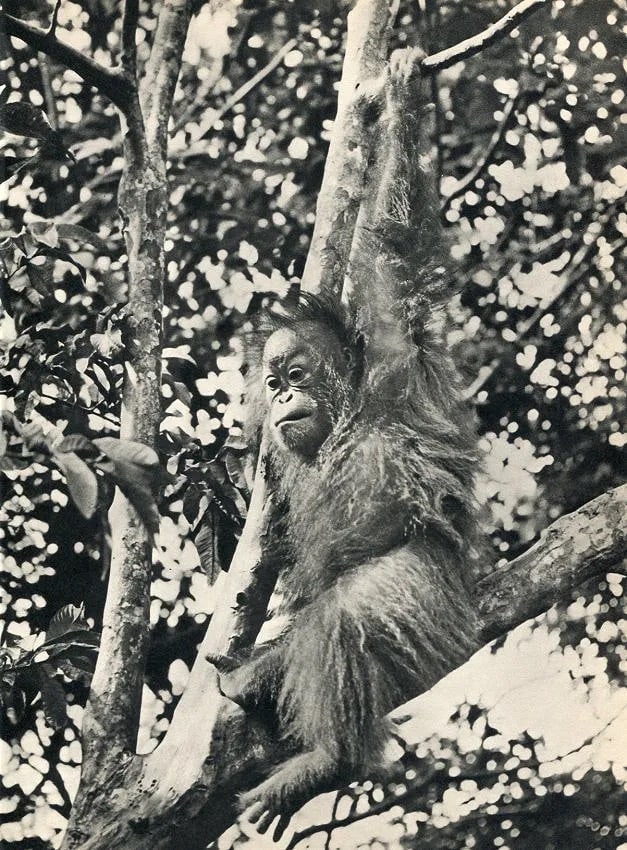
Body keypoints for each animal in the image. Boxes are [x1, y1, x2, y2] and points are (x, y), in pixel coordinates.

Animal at [208, 51, 484, 840]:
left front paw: (399, 90)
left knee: (341, 619)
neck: (346, 417)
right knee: (303, 632)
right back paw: (254, 684)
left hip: (424, 584)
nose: (283, 398)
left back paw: (331, 760)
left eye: (297, 375)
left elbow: (391, 243)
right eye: (274, 381)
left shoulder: (393, 353)